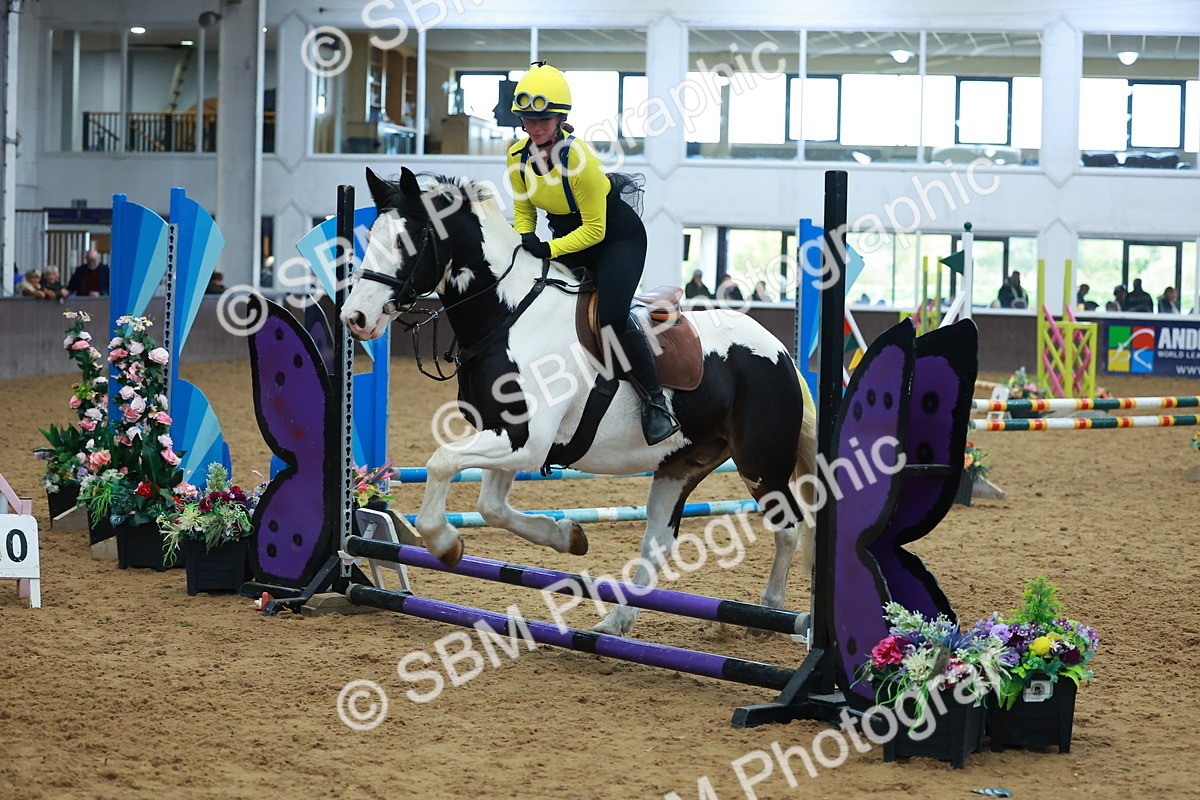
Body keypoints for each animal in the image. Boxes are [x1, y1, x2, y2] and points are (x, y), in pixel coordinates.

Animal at [341, 167, 817, 636]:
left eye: (405, 241)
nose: (354, 318)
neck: (508, 314)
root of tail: (781, 353)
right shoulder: (509, 435)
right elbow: (490, 507)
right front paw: (568, 536)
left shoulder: (526, 442)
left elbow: (442, 462)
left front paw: (444, 544)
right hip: (679, 466)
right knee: (659, 539)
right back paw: (616, 621)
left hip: (760, 462)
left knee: (789, 527)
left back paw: (774, 614)